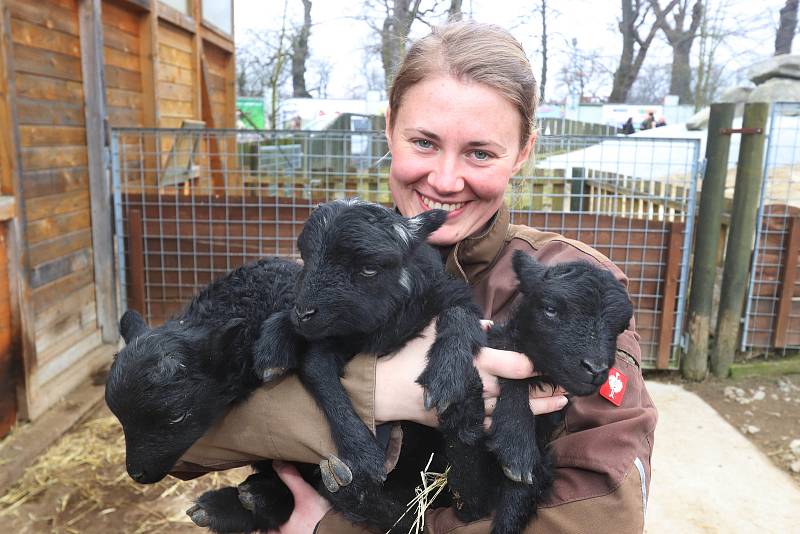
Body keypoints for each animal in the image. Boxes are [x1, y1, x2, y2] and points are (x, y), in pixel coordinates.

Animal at [252, 201, 488, 532]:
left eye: (369, 269)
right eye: (306, 258)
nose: (304, 312)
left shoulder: (450, 297)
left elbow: (460, 315)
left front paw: (446, 378)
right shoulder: (333, 339)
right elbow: (316, 370)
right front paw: (363, 452)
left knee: (464, 507)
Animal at [484, 253, 636, 534]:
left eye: (619, 328)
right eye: (550, 309)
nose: (596, 369)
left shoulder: (542, 455)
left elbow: (522, 494)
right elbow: (509, 357)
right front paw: (515, 442)